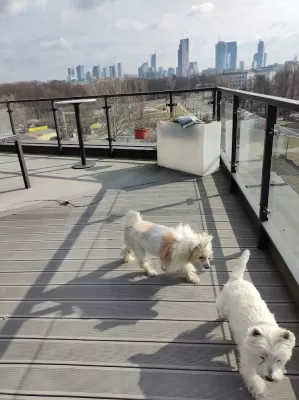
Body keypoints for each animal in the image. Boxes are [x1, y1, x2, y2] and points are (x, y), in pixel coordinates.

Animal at [217, 248, 296, 398]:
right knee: (220, 308)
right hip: (223, 302)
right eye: (262, 357)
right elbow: (253, 376)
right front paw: (260, 391)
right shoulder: (247, 360)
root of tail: (237, 279)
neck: (264, 326)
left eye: (278, 359)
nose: (270, 378)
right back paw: (221, 316)